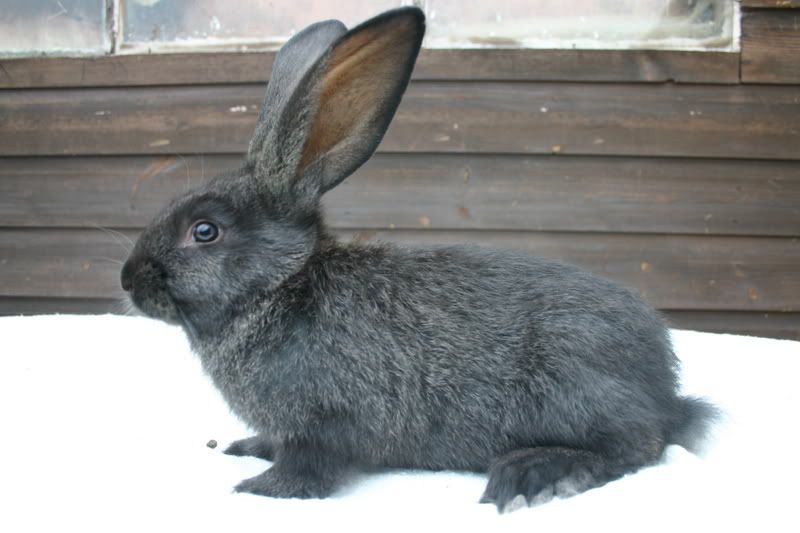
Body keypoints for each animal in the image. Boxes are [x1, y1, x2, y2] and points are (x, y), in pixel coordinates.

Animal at [120, 7, 716, 512]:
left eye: (205, 231)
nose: (127, 280)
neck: (281, 285)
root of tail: (664, 385)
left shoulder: (325, 421)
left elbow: (309, 468)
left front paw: (261, 487)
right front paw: (247, 448)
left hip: (574, 387)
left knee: (638, 445)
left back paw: (535, 475)